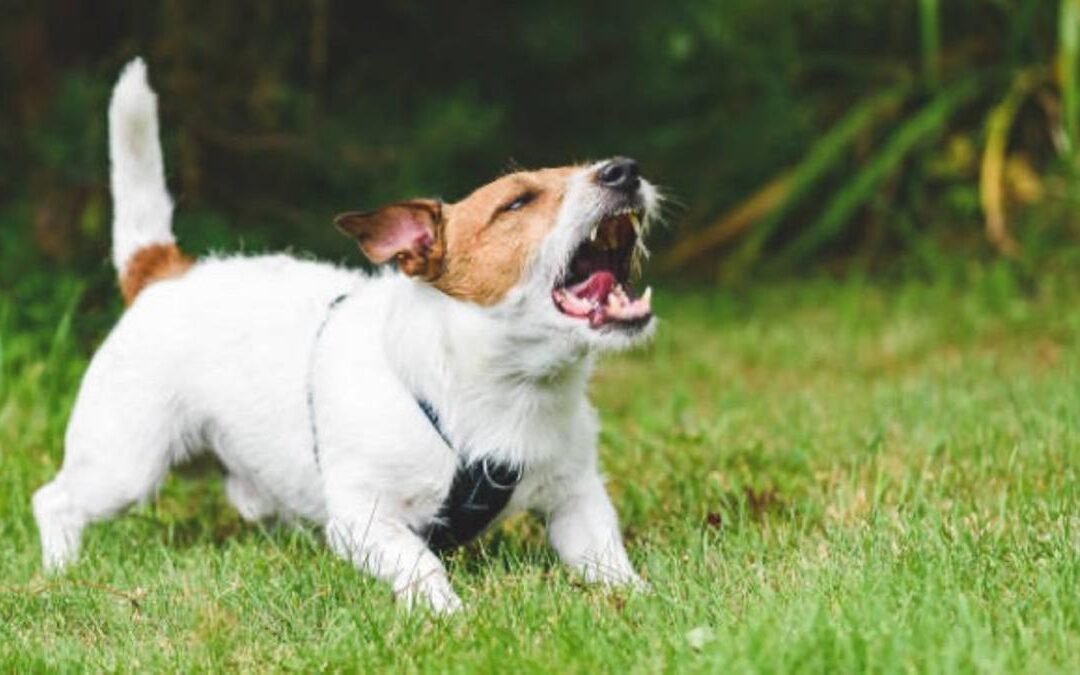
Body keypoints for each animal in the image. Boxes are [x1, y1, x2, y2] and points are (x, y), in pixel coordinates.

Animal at [31, 60, 656, 613]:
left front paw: (642, 601)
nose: (625, 169)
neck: (504, 391)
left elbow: (607, 558)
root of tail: (164, 271)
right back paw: (62, 570)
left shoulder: (576, 497)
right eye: (517, 202)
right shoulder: (365, 519)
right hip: (124, 465)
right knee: (54, 500)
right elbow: (420, 562)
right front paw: (447, 612)